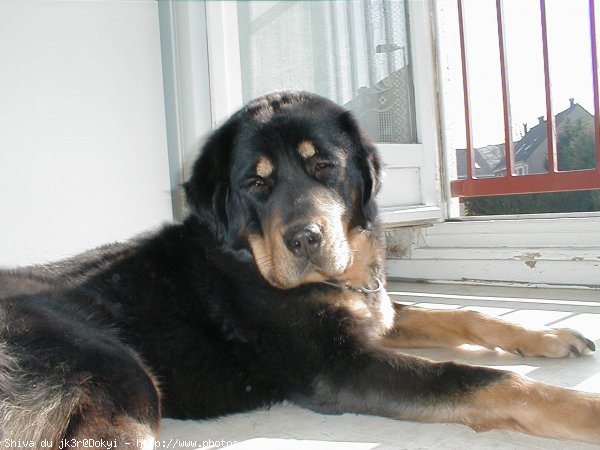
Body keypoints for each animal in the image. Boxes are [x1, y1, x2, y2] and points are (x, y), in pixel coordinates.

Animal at [1, 91, 600, 446]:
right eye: (255, 182)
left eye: (324, 166)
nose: (306, 238)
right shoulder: (339, 365)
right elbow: (480, 379)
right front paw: (584, 409)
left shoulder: (374, 313)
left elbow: (465, 315)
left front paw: (546, 337)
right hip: (123, 378)